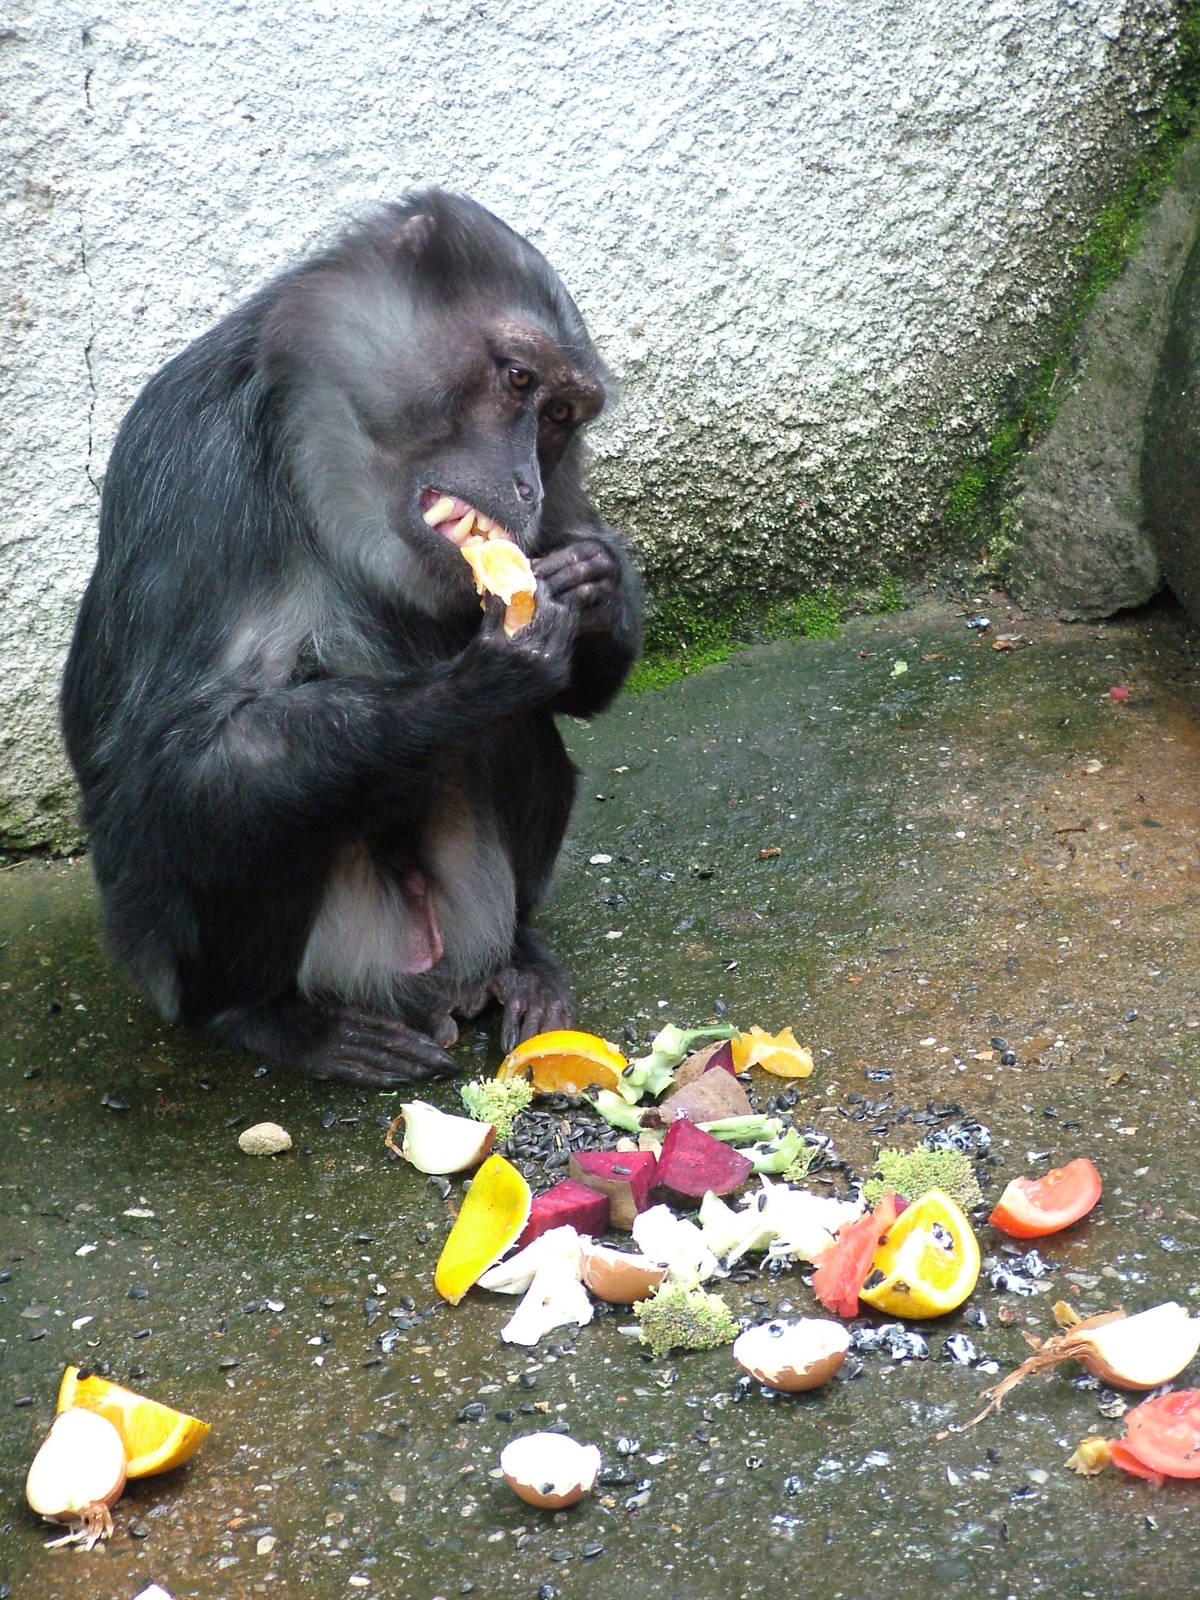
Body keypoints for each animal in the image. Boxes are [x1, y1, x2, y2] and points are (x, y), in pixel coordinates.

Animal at [60, 190, 643, 1088]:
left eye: (557, 417)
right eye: (517, 378)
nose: (526, 486)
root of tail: (428, 971)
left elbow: (580, 687)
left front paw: (597, 580)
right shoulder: (201, 475)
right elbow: (176, 767)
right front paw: (476, 683)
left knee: (520, 741)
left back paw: (515, 964)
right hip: (237, 955)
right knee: (230, 822)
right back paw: (264, 1018)